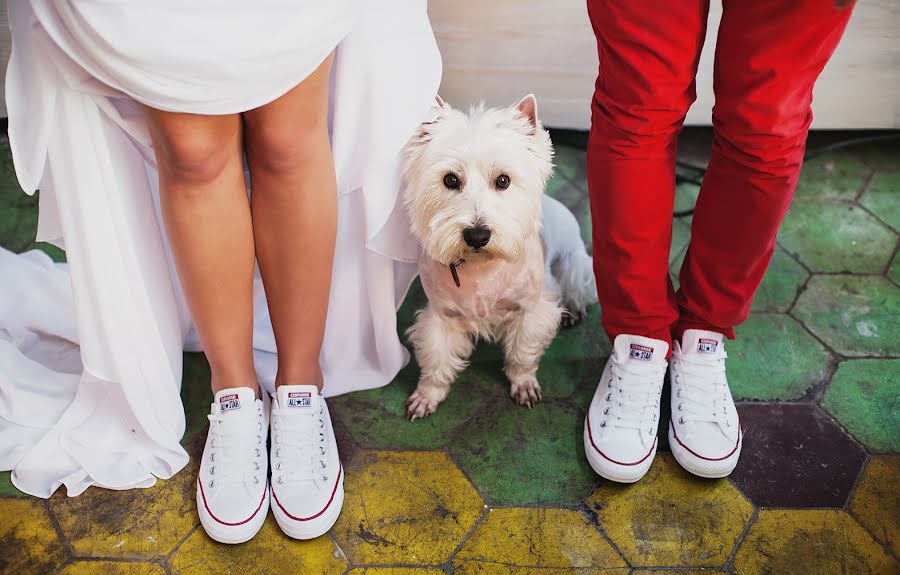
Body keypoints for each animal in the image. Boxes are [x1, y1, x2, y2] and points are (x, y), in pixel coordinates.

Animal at [400, 93, 596, 418]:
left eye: (503, 180)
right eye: (450, 180)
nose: (477, 235)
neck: (481, 268)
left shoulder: (531, 310)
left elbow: (522, 353)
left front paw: (524, 383)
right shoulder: (441, 317)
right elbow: (437, 360)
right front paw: (427, 395)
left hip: (573, 264)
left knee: (576, 288)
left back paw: (574, 310)